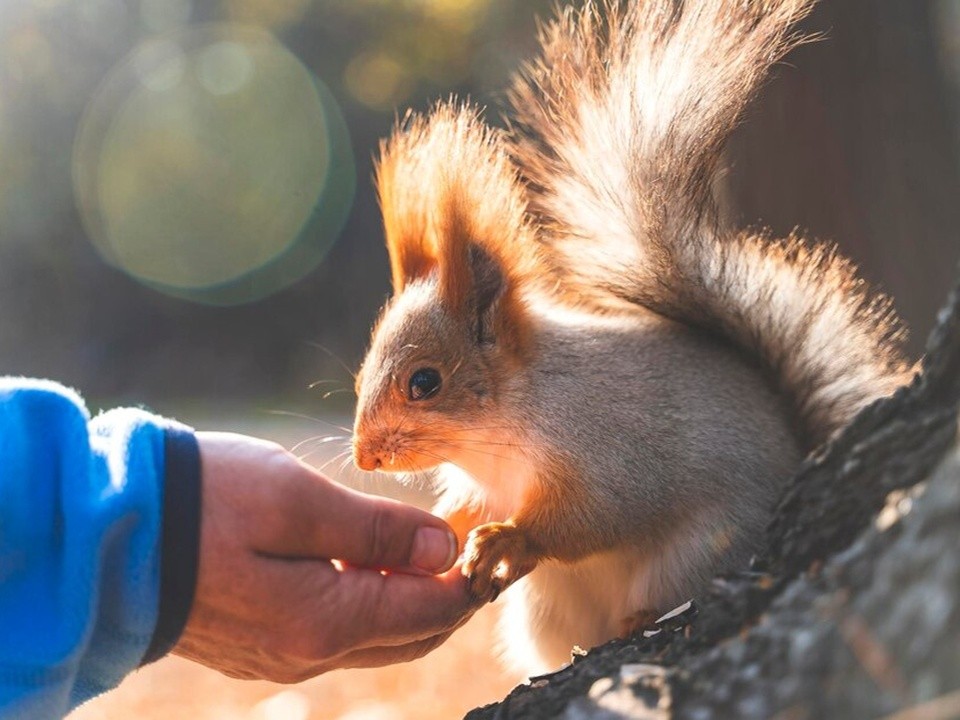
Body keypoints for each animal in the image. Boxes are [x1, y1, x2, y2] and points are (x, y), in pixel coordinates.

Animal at [348, 0, 912, 676]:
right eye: (359, 378)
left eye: (425, 382)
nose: (365, 459)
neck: (500, 431)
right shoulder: (490, 483)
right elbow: (472, 506)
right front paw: (449, 525)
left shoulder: (610, 448)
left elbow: (595, 515)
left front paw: (510, 537)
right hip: (544, 611)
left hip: (701, 549)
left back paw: (640, 619)